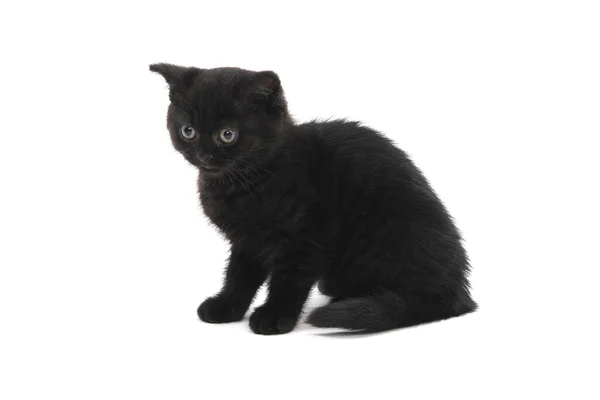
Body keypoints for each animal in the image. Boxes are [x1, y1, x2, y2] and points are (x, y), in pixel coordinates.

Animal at [151, 63, 478, 334]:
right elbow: (239, 275)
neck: (244, 181)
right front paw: (226, 307)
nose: (204, 156)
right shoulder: (247, 241)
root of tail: (459, 292)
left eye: (227, 134)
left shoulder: (304, 238)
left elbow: (288, 280)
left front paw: (274, 318)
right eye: (188, 131)